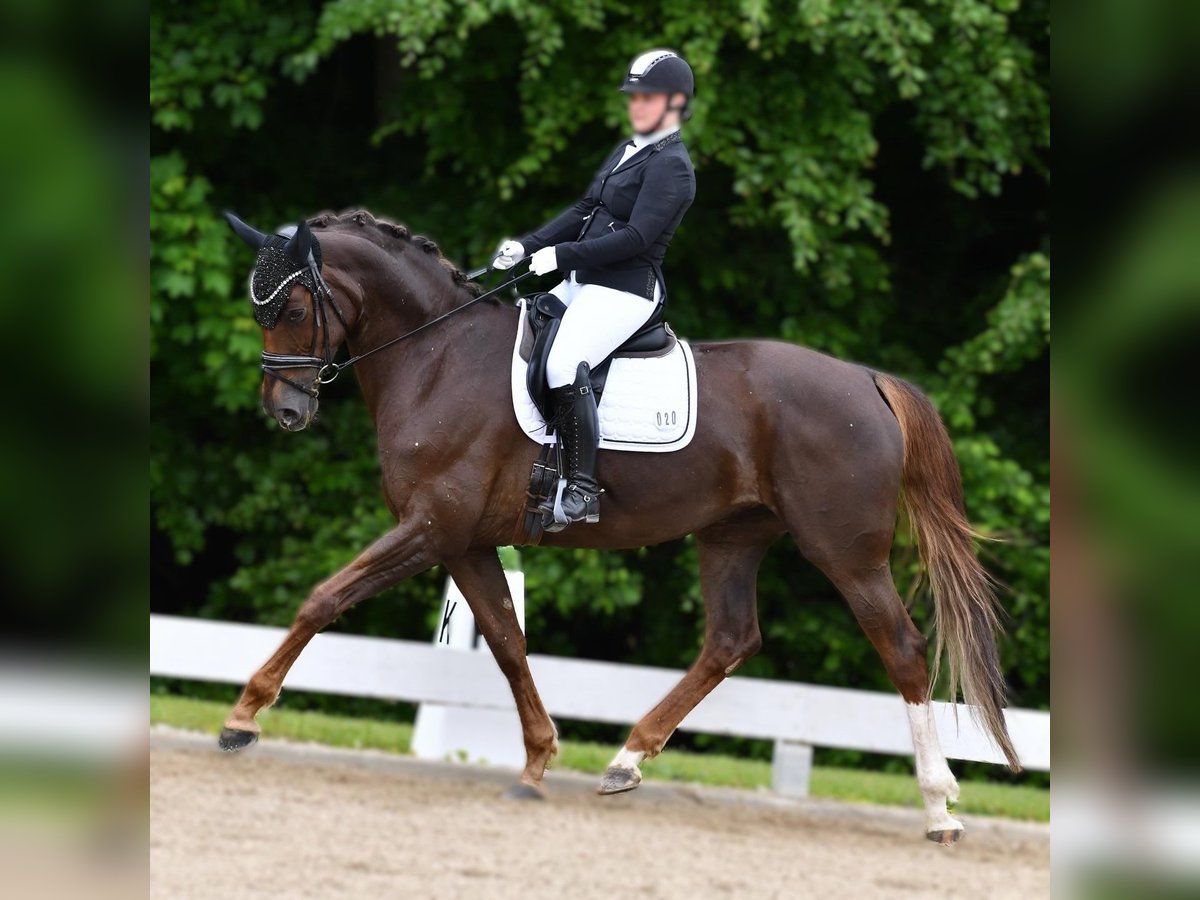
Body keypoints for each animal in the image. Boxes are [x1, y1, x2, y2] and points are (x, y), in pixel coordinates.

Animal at [216, 208, 1021, 845]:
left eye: (292, 309)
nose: (286, 412)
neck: (437, 357)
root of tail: (867, 379)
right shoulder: (466, 542)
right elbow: (508, 643)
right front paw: (538, 760)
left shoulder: (430, 527)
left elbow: (325, 598)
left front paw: (244, 716)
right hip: (733, 536)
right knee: (731, 640)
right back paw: (626, 761)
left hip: (846, 553)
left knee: (902, 649)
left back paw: (939, 809)